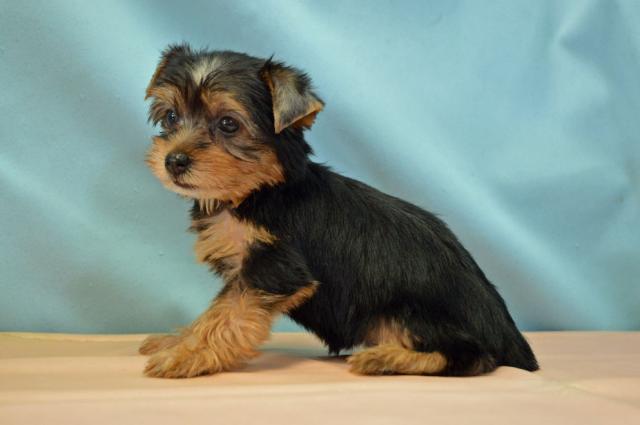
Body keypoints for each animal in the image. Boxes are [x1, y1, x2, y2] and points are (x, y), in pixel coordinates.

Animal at [140, 44, 539, 378]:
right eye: (171, 118)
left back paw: (387, 358)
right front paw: (179, 340)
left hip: (407, 312)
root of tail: (509, 334)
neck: (259, 193)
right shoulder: (250, 269)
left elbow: (227, 312)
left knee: (472, 356)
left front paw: (186, 353)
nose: (174, 160)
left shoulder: (275, 268)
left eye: (227, 123)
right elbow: (217, 308)